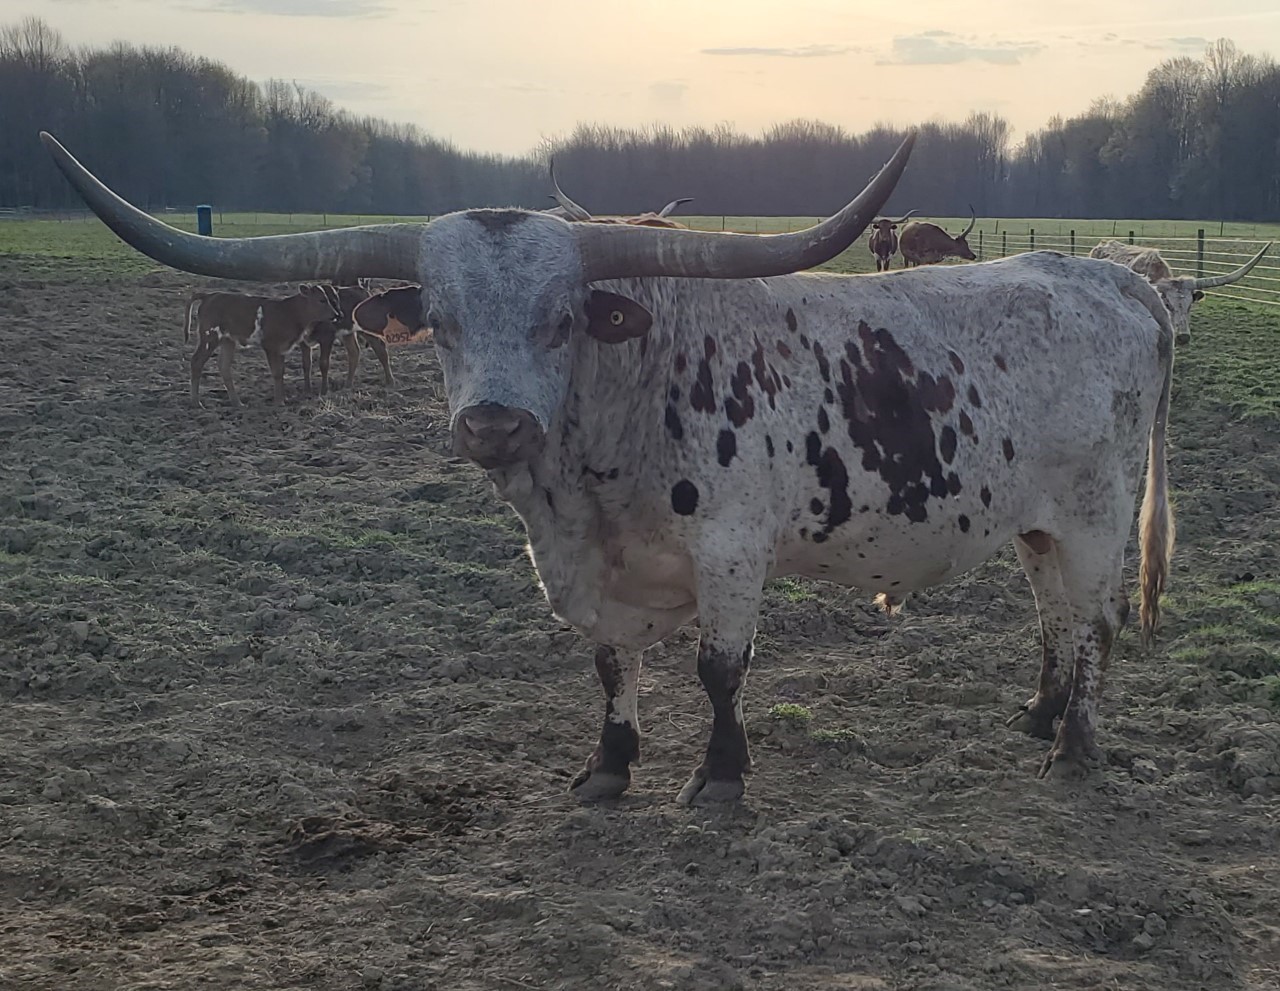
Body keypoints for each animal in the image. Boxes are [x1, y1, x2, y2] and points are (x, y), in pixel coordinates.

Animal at [182, 284, 340, 407]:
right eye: (321, 300)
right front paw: (279, 402)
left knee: (224, 366)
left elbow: (281, 372)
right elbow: (277, 372)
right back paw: (196, 402)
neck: (290, 312)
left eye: (330, 300)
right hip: (210, 337)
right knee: (196, 362)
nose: (336, 315)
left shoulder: (282, 348)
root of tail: (209, 296)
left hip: (228, 340)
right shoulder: (270, 345)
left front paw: (282, 398)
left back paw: (237, 403)